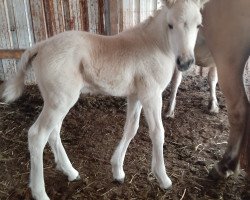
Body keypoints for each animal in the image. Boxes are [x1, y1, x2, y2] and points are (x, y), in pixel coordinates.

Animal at [0, 0, 207, 199]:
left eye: (199, 25)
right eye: (170, 25)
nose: (185, 62)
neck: (155, 44)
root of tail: (40, 46)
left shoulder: (136, 95)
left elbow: (131, 129)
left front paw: (118, 171)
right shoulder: (152, 94)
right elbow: (157, 132)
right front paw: (163, 179)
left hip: (57, 100)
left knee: (53, 133)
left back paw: (71, 172)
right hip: (60, 101)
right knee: (37, 135)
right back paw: (40, 192)